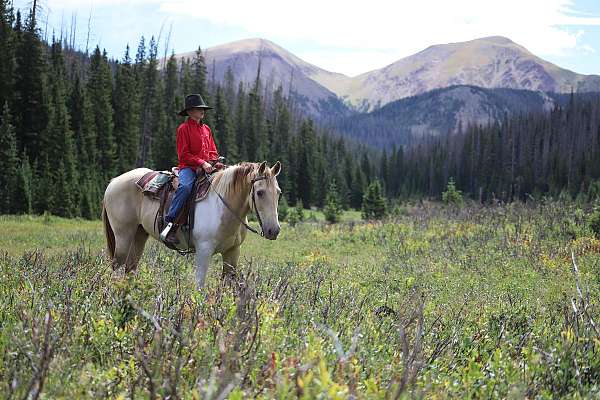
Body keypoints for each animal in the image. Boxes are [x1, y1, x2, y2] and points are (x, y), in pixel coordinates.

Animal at [102, 160, 282, 288]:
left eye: (278, 192)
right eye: (260, 192)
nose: (273, 230)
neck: (223, 206)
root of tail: (113, 182)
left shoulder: (232, 252)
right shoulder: (204, 251)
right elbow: (199, 286)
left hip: (139, 234)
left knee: (130, 268)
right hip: (123, 236)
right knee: (117, 267)